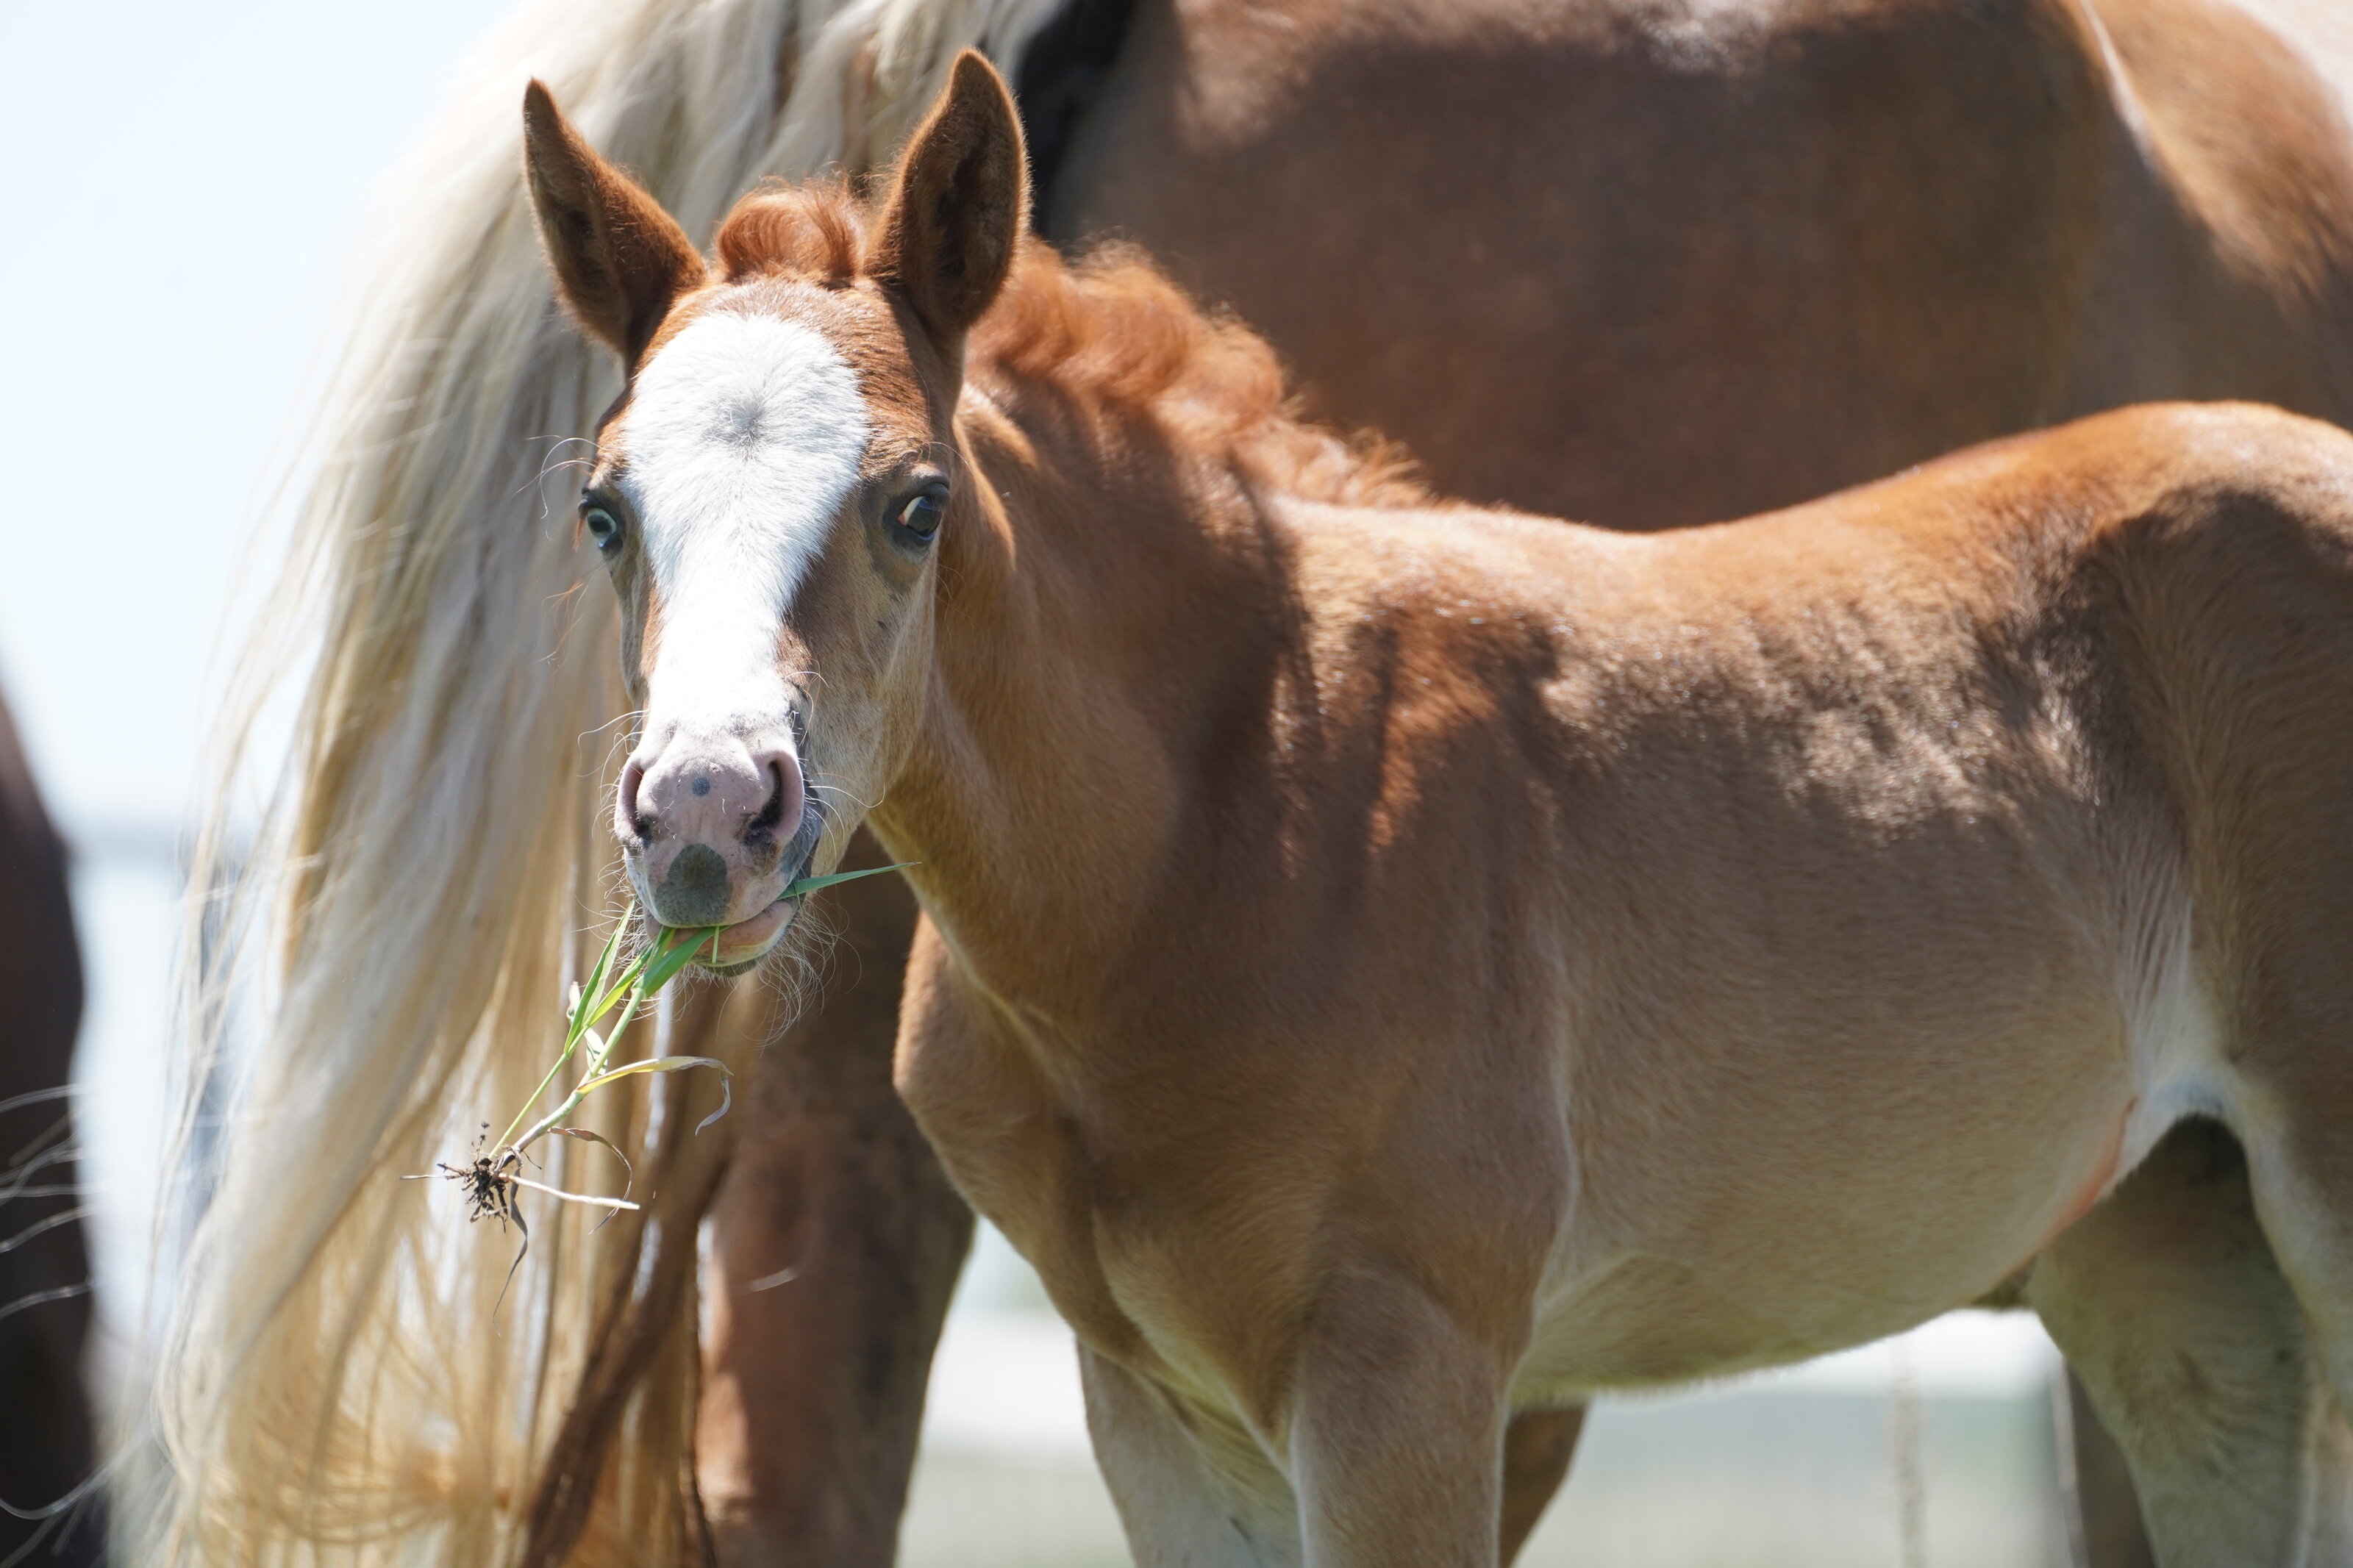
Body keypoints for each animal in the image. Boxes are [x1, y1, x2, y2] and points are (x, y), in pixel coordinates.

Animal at [140, 0, 2353, 1561]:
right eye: (603, 510)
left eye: (914, 500)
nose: (705, 818)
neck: (1232, 824)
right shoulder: (1162, 1409)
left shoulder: (1412, 1375)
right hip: (2185, 1274)